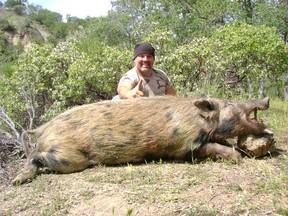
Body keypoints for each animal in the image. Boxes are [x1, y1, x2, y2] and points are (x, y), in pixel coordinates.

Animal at [10, 96, 268, 186]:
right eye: (230, 104)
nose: (265, 99)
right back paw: (16, 181)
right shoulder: (185, 146)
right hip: (68, 157)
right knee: (36, 157)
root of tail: (42, 128)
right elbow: (212, 148)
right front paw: (237, 158)